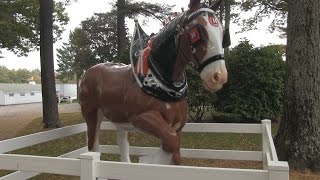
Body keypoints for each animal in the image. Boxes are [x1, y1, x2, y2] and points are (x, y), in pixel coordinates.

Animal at [80, 0, 230, 166]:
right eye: (197, 33)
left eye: (223, 34)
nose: (219, 76)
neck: (161, 84)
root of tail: (88, 72)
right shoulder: (140, 118)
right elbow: (170, 142)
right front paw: (149, 160)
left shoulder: (177, 127)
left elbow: (176, 155)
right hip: (91, 112)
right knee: (93, 145)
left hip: (120, 119)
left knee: (122, 144)